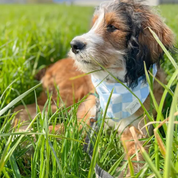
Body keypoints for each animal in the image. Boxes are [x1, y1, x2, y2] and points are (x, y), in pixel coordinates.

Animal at [13, 0, 174, 175]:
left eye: (112, 26)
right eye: (94, 24)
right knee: (23, 108)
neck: (114, 85)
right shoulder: (84, 119)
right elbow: (53, 130)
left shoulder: (137, 130)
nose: (74, 45)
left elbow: (136, 158)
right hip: (63, 100)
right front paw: (24, 141)